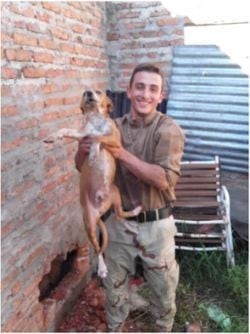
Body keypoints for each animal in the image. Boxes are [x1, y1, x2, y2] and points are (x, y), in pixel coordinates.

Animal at [44, 88, 142, 276]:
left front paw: (94, 152)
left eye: (98, 91)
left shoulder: (114, 139)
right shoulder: (82, 134)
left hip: (115, 191)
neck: (96, 119)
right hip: (89, 224)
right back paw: (102, 268)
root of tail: (100, 211)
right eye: (84, 93)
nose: (88, 92)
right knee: (98, 248)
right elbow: (69, 129)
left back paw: (136, 209)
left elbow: (98, 137)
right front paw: (53, 136)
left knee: (120, 214)